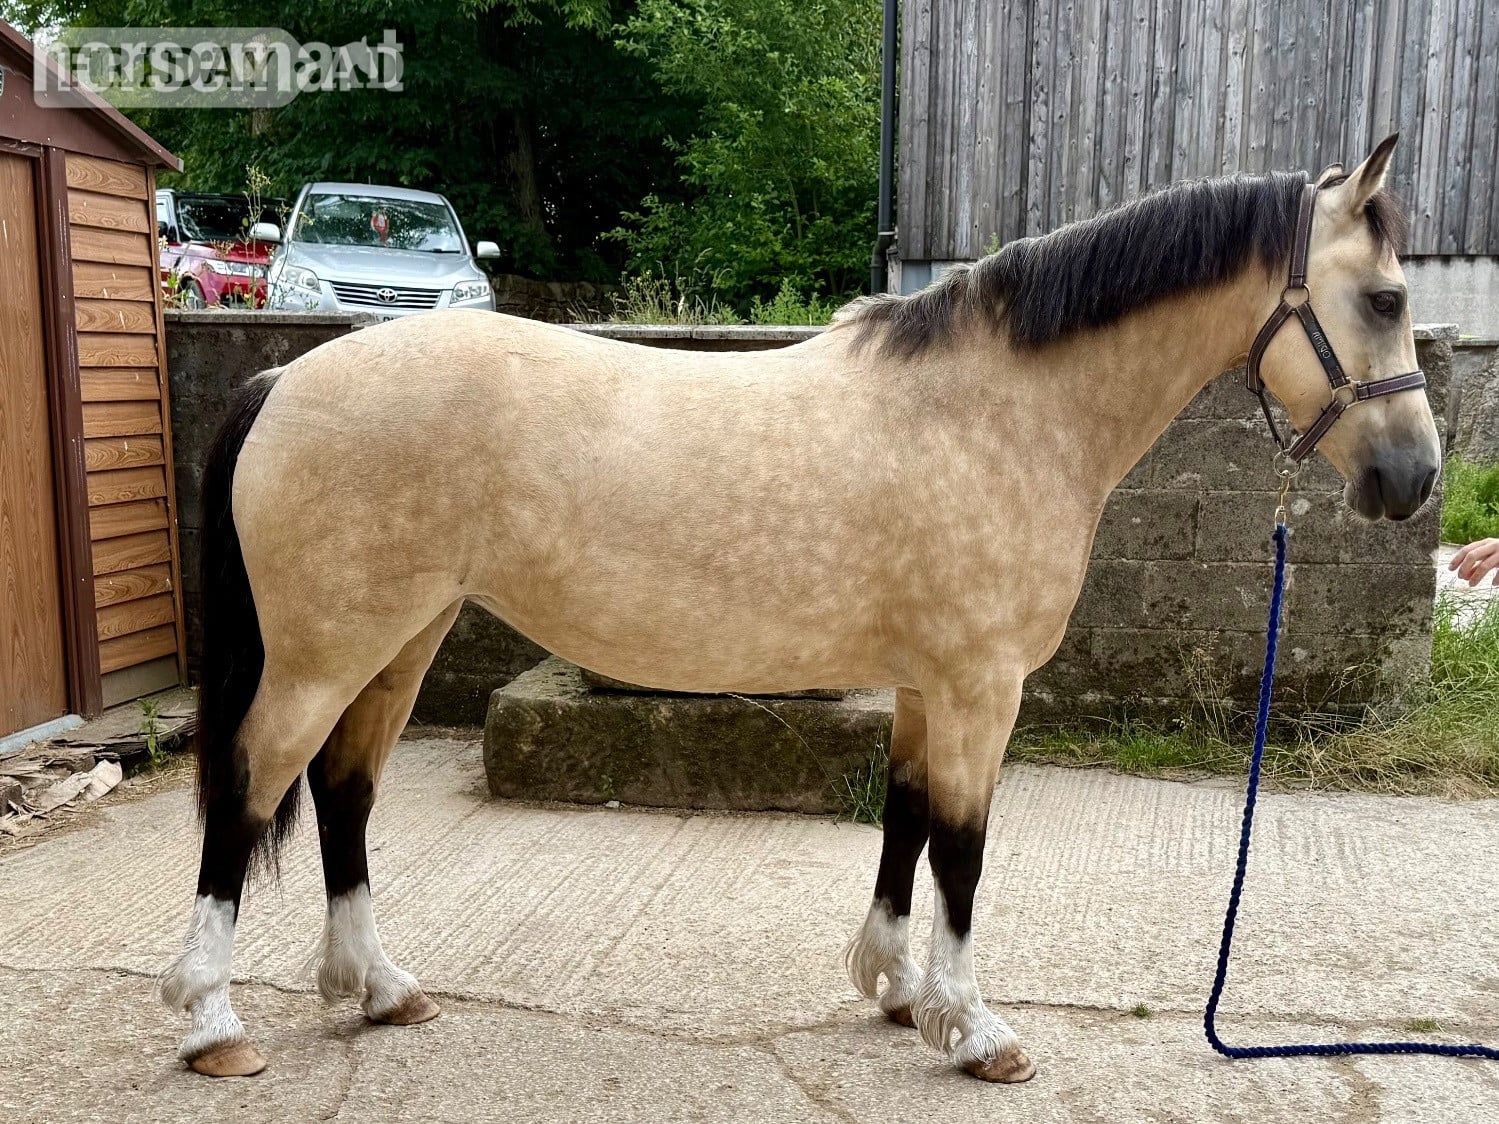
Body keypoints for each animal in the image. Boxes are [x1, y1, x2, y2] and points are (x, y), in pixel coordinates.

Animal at [160, 136, 1438, 1083]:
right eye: (1381, 296)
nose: (1413, 479)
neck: (1000, 409)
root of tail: (282, 377)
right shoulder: (980, 683)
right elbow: (962, 848)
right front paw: (976, 1030)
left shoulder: (927, 681)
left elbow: (905, 818)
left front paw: (896, 989)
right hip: (324, 653)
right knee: (248, 788)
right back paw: (213, 1020)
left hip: (401, 639)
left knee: (343, 791)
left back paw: (377, 989)